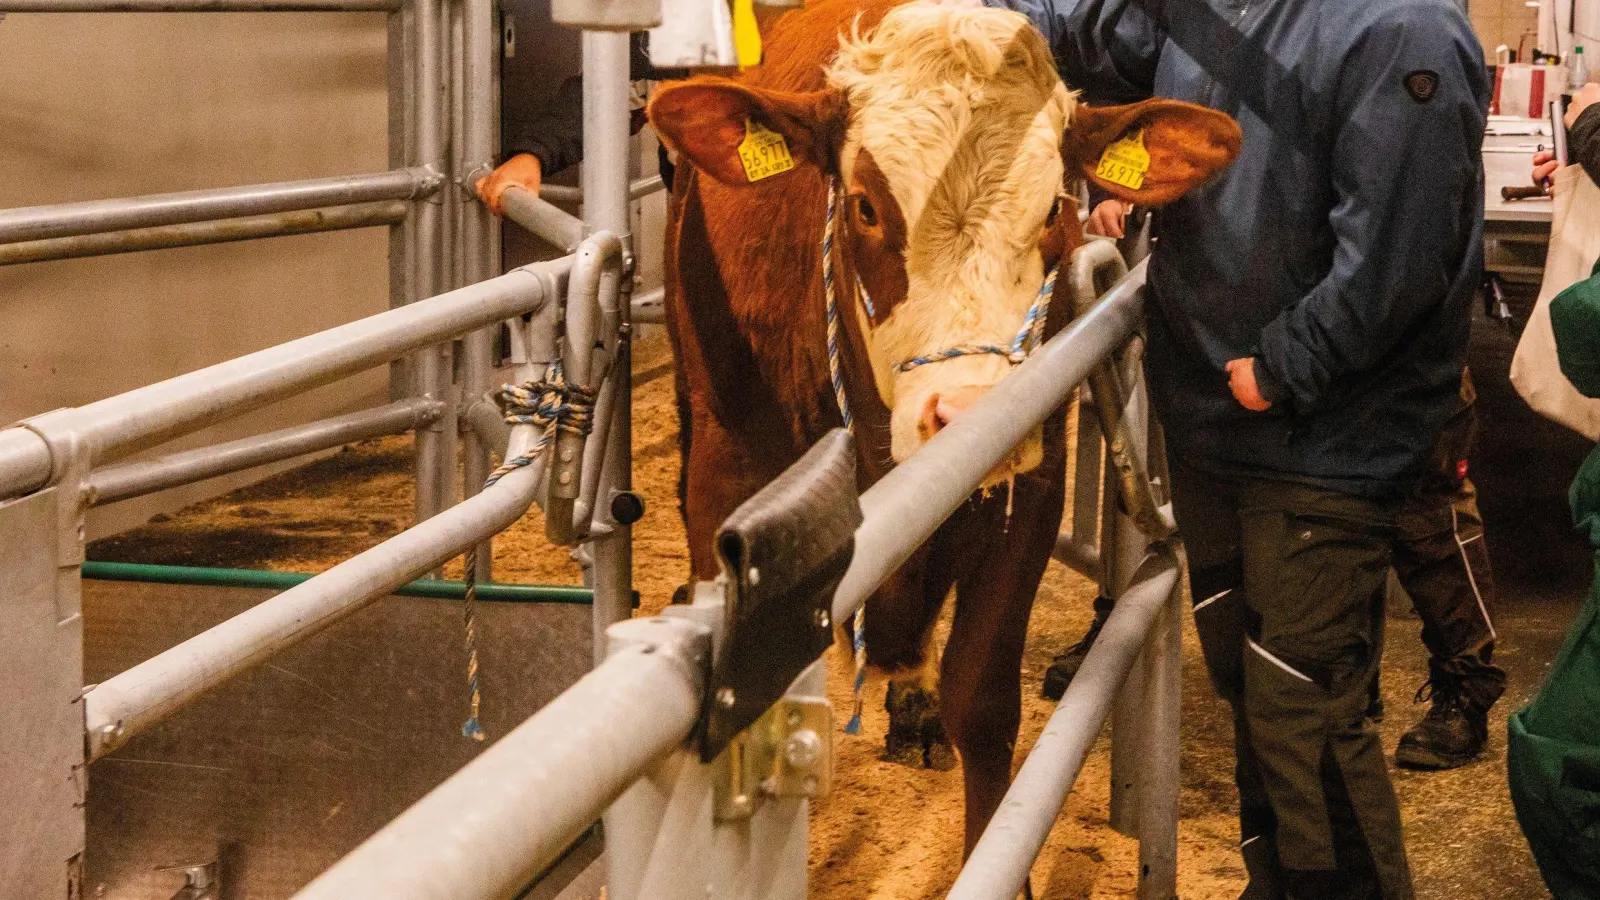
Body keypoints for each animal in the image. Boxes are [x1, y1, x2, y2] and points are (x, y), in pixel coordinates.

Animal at [646, 0, 1235, 851]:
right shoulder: (728, 483)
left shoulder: (1033, 483)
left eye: (1052, 209)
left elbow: (983, 708)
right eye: (865, 205)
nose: (968, 409)